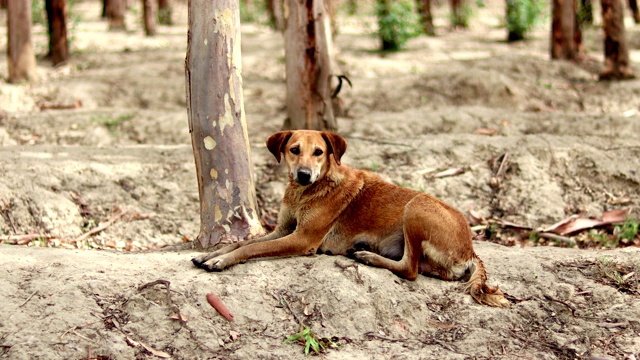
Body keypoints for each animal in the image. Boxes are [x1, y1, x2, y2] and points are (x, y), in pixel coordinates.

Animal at [191, 129, 510, 306]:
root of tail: (471, 249)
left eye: (319, 152)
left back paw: (368, 256)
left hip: (417, 205)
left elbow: (252, 247)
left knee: (410, 269)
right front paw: (213, 253)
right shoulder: (282, 229)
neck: (306, 192)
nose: (303, 174)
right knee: (422, 267)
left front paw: (221, 261)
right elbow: (242, 242)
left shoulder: (302, 238)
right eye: (294, 150)